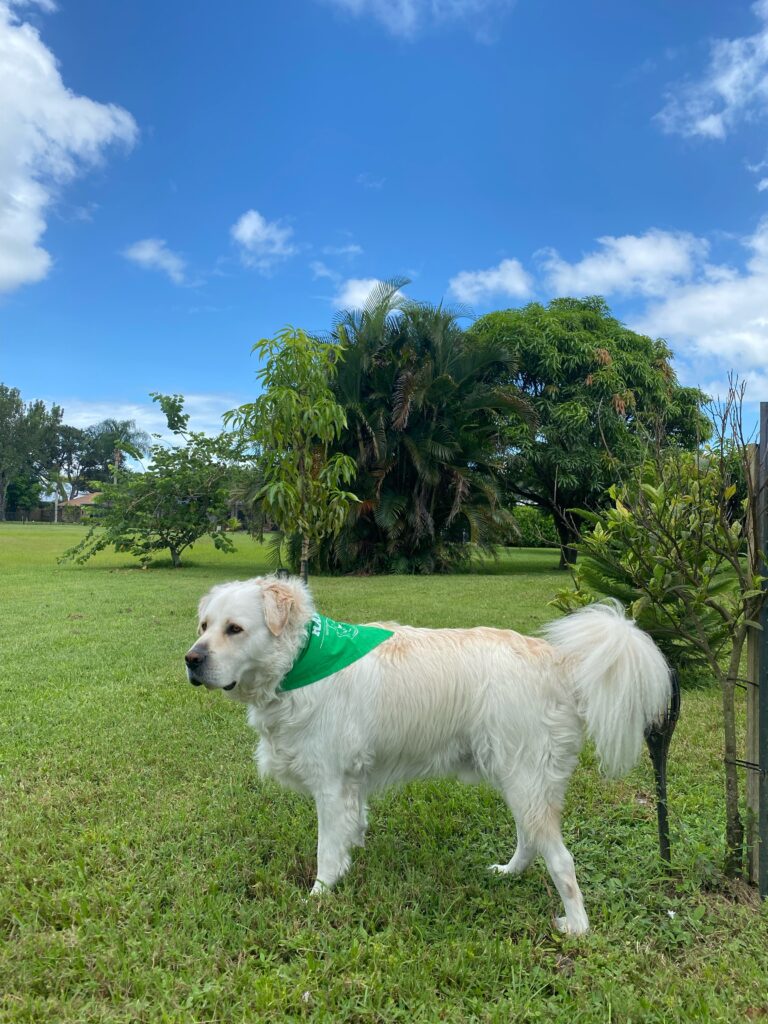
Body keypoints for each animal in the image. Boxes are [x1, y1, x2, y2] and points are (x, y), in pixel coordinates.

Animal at [185, 577, 667, 937]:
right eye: (204, 625)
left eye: (234, 629)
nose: (190, 659)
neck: (301, 658)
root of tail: (559, 661)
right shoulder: (350, 785)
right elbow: (349, 832)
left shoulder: (331, 784)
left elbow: (326, 850)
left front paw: (319, 895)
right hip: (519, 778)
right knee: (531, 839)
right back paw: (509, 872)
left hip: (524, 778)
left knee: (562, 860)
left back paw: (577, 925)